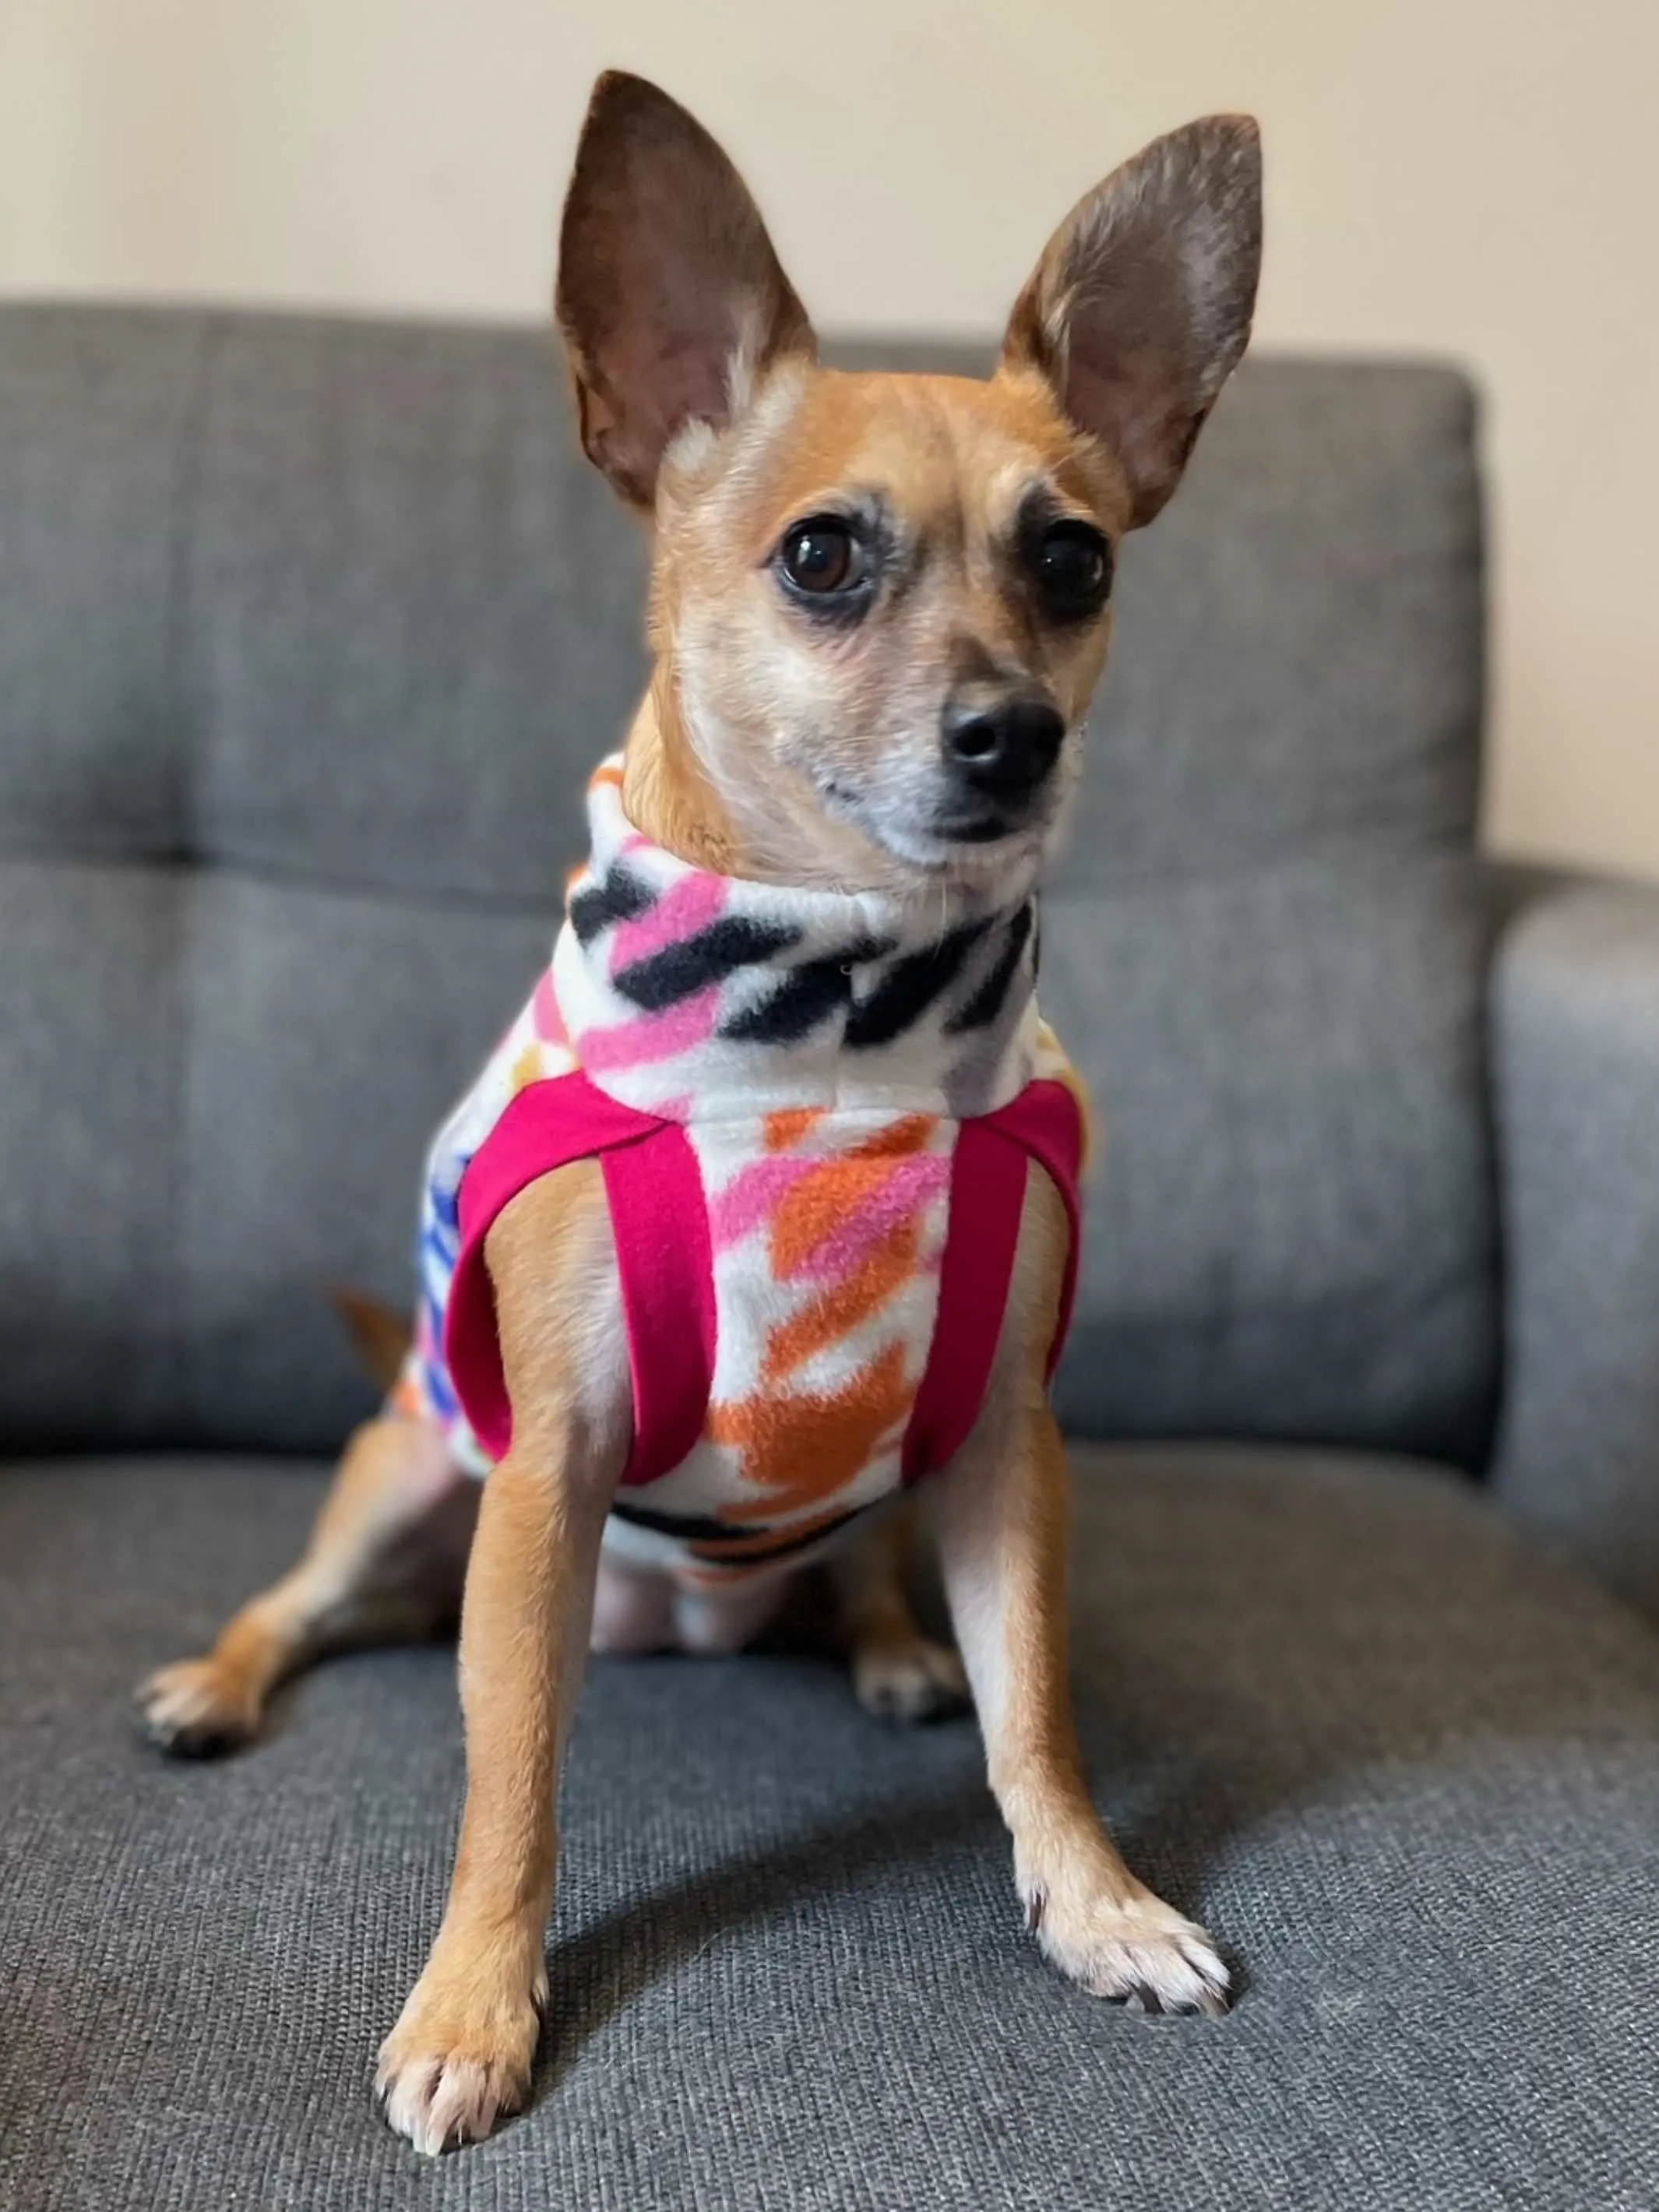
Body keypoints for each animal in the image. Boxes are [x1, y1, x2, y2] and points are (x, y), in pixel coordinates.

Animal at [143, 78, 1265, 2150]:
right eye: (823, 559)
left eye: (1074, 562)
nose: (1016, 732)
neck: (837, 1025)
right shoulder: (544, 1472)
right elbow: (511, 1781)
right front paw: (475, 2002)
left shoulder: (1008, 1443)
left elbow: (1039, 1711)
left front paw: (1097, 1900)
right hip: (410, 1472)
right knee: (313, 1605)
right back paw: (216, 1678)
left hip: (897, 1483)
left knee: (872, 1582)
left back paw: (893, 1647)